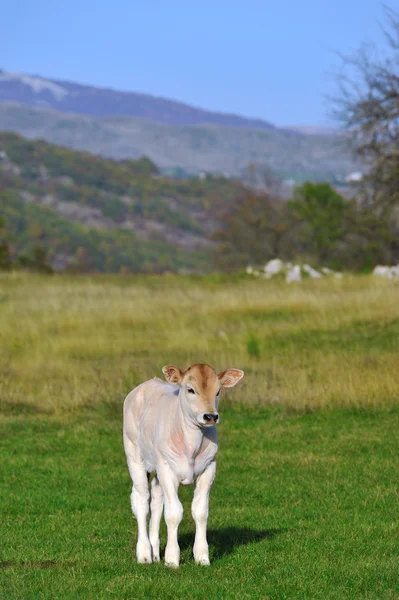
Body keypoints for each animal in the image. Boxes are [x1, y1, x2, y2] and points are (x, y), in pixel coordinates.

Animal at [124, 360, 244, 568]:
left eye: (218, 391)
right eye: (190, 389)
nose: (210, 416)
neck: (191, 445)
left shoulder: (209, 468)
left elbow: (200, 511)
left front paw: (202, 556)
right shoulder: (167, 468)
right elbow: (174, 513)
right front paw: (172, 559)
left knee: (156, 499)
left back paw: (155, 552)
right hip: (134, 453)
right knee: (141, 499)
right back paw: (145, 554)